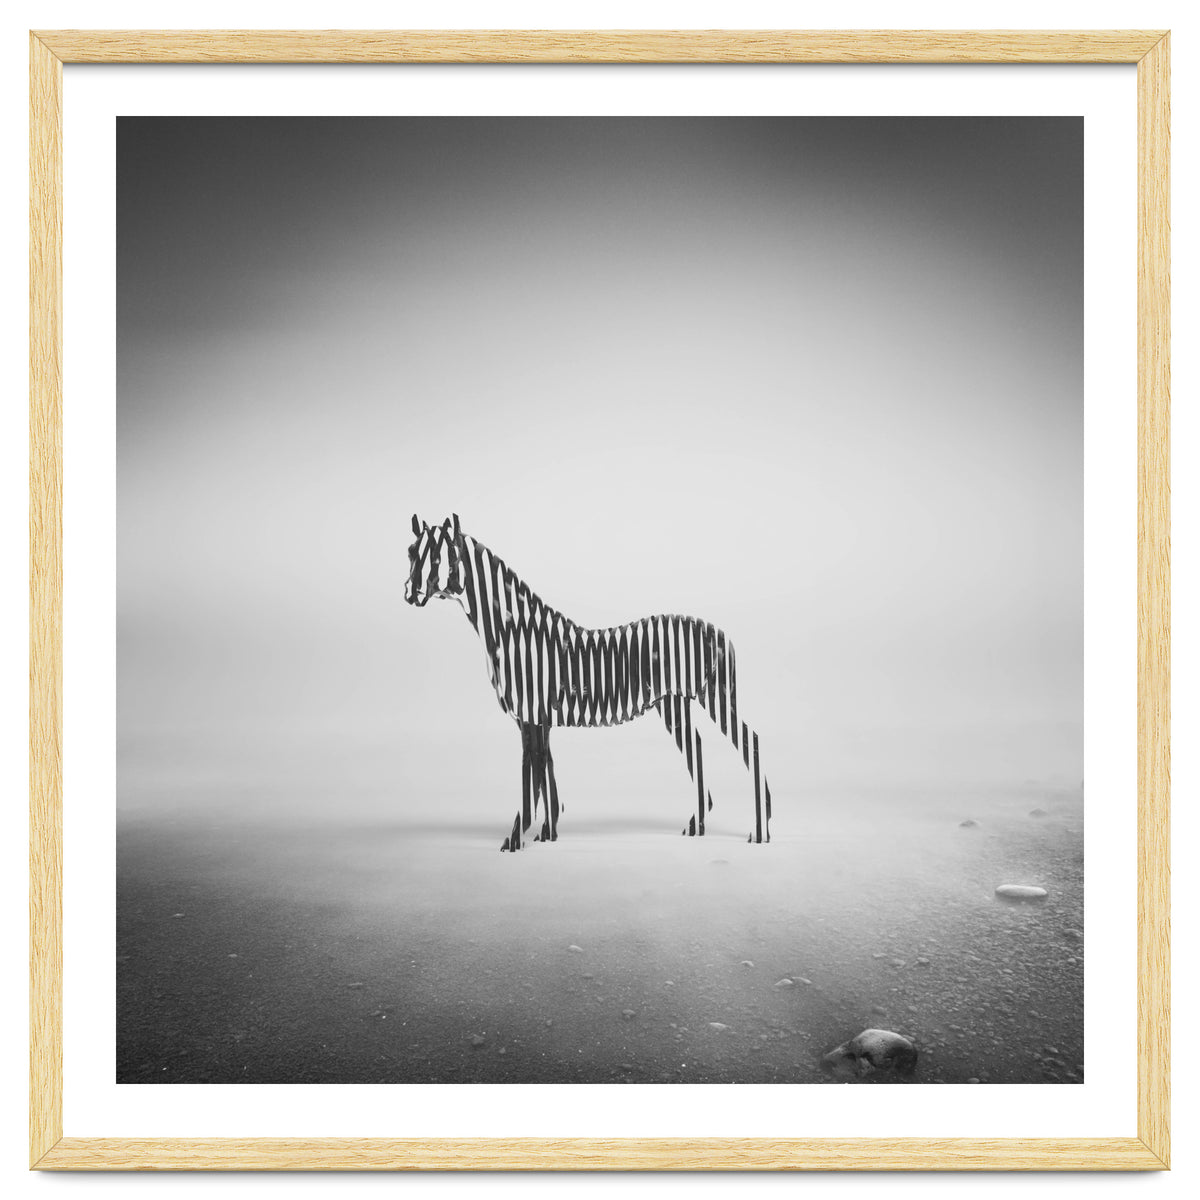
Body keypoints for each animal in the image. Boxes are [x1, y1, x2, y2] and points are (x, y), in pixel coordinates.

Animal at [405, 513, 772, 851]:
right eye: (410, 552)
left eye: (439, 558)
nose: (409, 593)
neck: (516, 633)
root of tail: (721, 633)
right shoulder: (536, 718)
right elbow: (544, 773)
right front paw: (547, 833)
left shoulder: (532, 714)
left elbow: (532, 777)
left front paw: (516, 838)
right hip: (674, 704)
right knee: (697, 747)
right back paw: (697, 825)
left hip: (715, 697)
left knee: (750, 741)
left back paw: (760, 830)